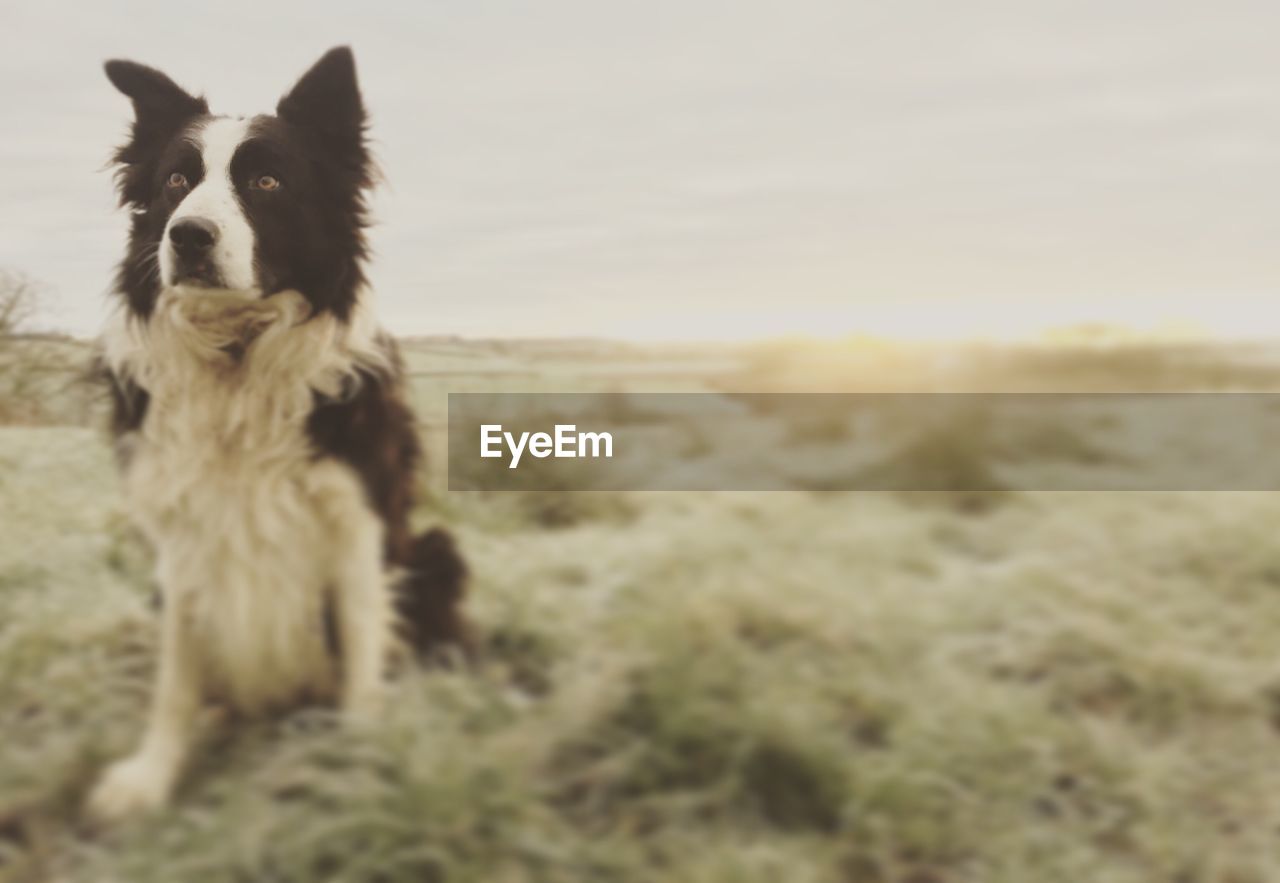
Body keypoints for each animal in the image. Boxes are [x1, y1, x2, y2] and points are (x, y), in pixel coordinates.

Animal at [91, 46, 471, 819]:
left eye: (267, 181)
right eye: (176, 181)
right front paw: (150, 776)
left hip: (436, 552)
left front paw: (360, 775)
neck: (237, 353)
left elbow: (361, 662)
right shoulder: (182, 537)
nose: (188, 236)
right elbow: (176, 679)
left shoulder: (357, 526)